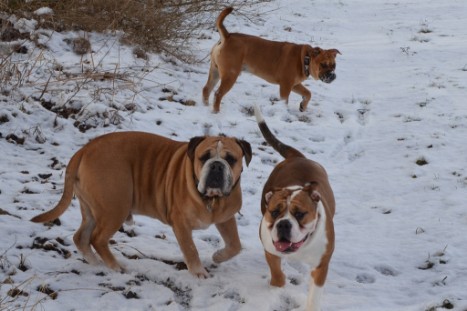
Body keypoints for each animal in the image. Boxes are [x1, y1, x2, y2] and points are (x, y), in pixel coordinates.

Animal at [31, 132, 252, 278]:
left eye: (231, 159)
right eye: (204, 157)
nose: (216, 166)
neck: (212, 199)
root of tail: (85, 150)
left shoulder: (226, 218)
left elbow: (235, 245)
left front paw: (218, 256)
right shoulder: (181, 224)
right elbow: (191, 249)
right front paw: (199, 272)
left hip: (92, 209)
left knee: (81, 237)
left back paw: (95, 263)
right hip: (115, 206)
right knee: (97, 239)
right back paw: (115, 266)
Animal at [203, 7, 342, 113]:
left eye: (334, 65)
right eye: (323, 64)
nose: (332, 75)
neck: (304, 59)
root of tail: (227, 36)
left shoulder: (295, 84)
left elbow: (308, 93)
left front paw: (303, 106)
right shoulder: (285, 86)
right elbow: (285, 101)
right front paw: (284, 111)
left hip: (215, 72)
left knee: (206, 89)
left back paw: (205, 106)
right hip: (230, 75)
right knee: (218, 94)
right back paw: (216, 112)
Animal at [256, 106, 336, 310]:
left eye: (300, 214)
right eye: (274, 212)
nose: (283, 224)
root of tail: (297, 157)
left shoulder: (321, 266)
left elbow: (314, 297)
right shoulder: (271, 250)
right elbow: (277, 276)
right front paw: (277, 286)